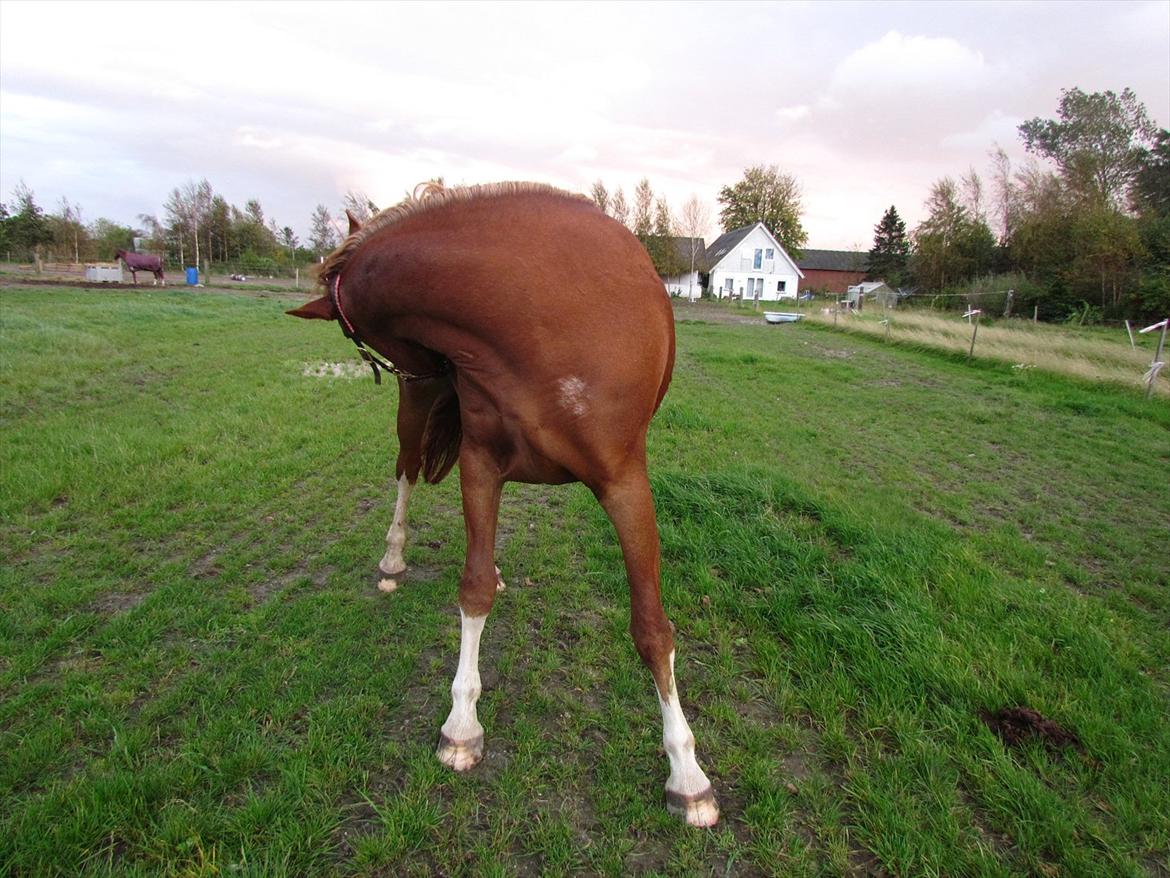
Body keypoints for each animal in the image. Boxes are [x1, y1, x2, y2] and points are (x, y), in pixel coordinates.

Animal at [287, 182, 716, 828]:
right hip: (415, 417)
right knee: (407, 473)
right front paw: (460, 726)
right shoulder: (479, 464)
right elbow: (472, 590)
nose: (431, 371)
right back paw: (393, 559)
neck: (538, 316)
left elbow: (651, 630)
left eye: (349, 334)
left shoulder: (625, 484)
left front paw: (687, 773)